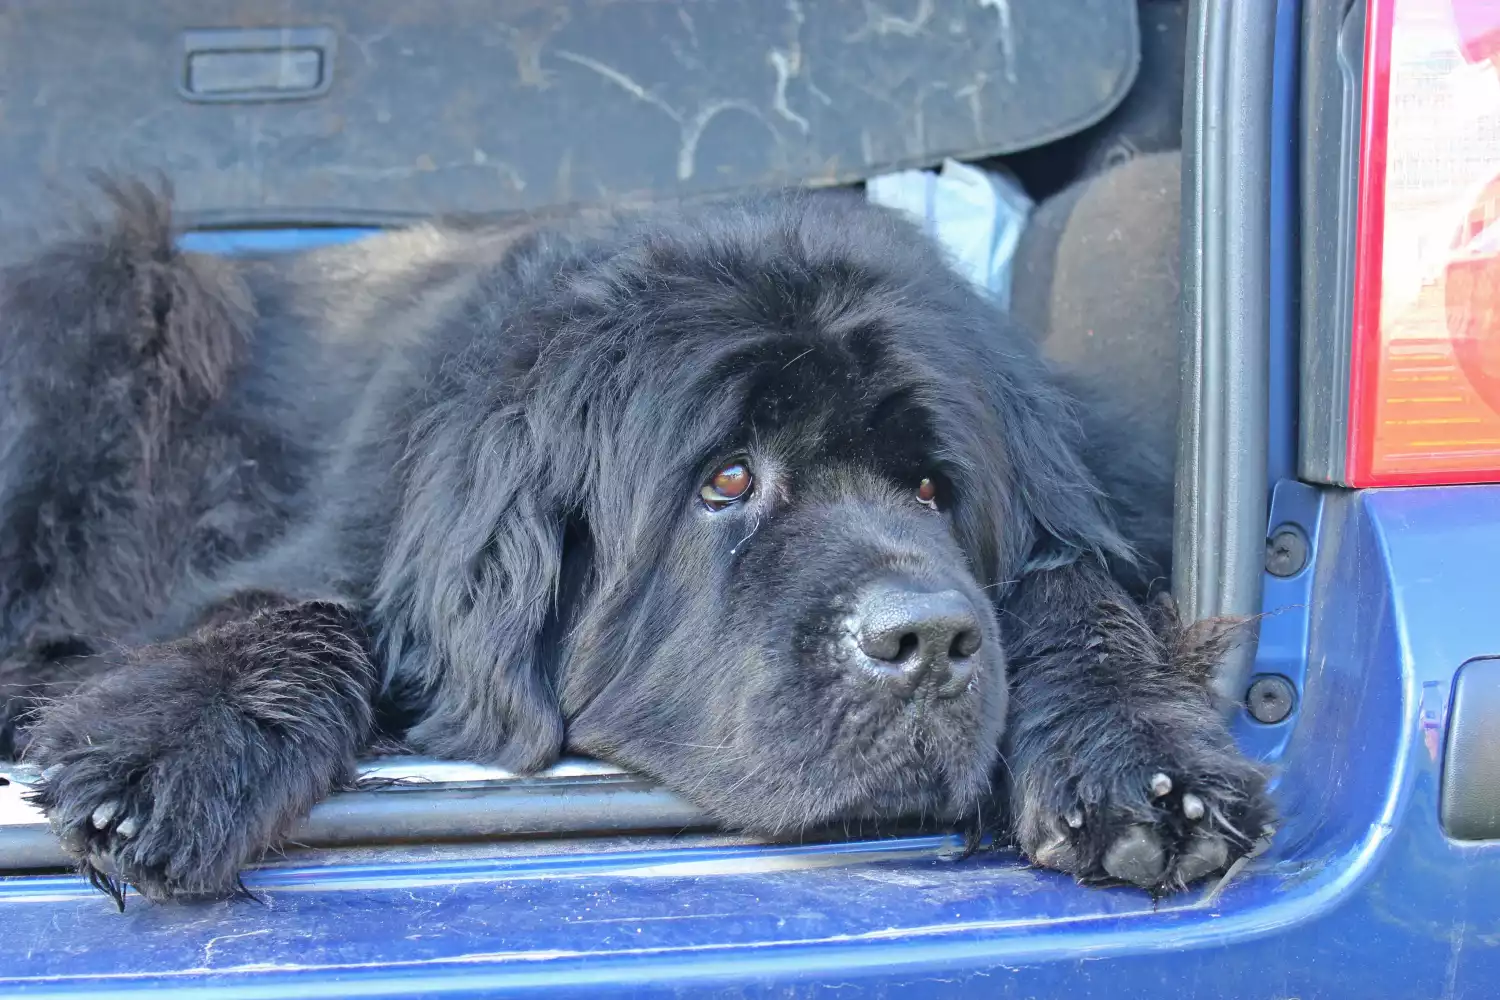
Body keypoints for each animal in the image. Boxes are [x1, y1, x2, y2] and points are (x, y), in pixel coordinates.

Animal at [0, 182, 1272, 905]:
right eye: (726, 480)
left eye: (932, 490)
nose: (927, 640)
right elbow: (291, 607)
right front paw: (167, 746)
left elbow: (1074, 587)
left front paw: (1141, 751)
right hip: (104, 297)